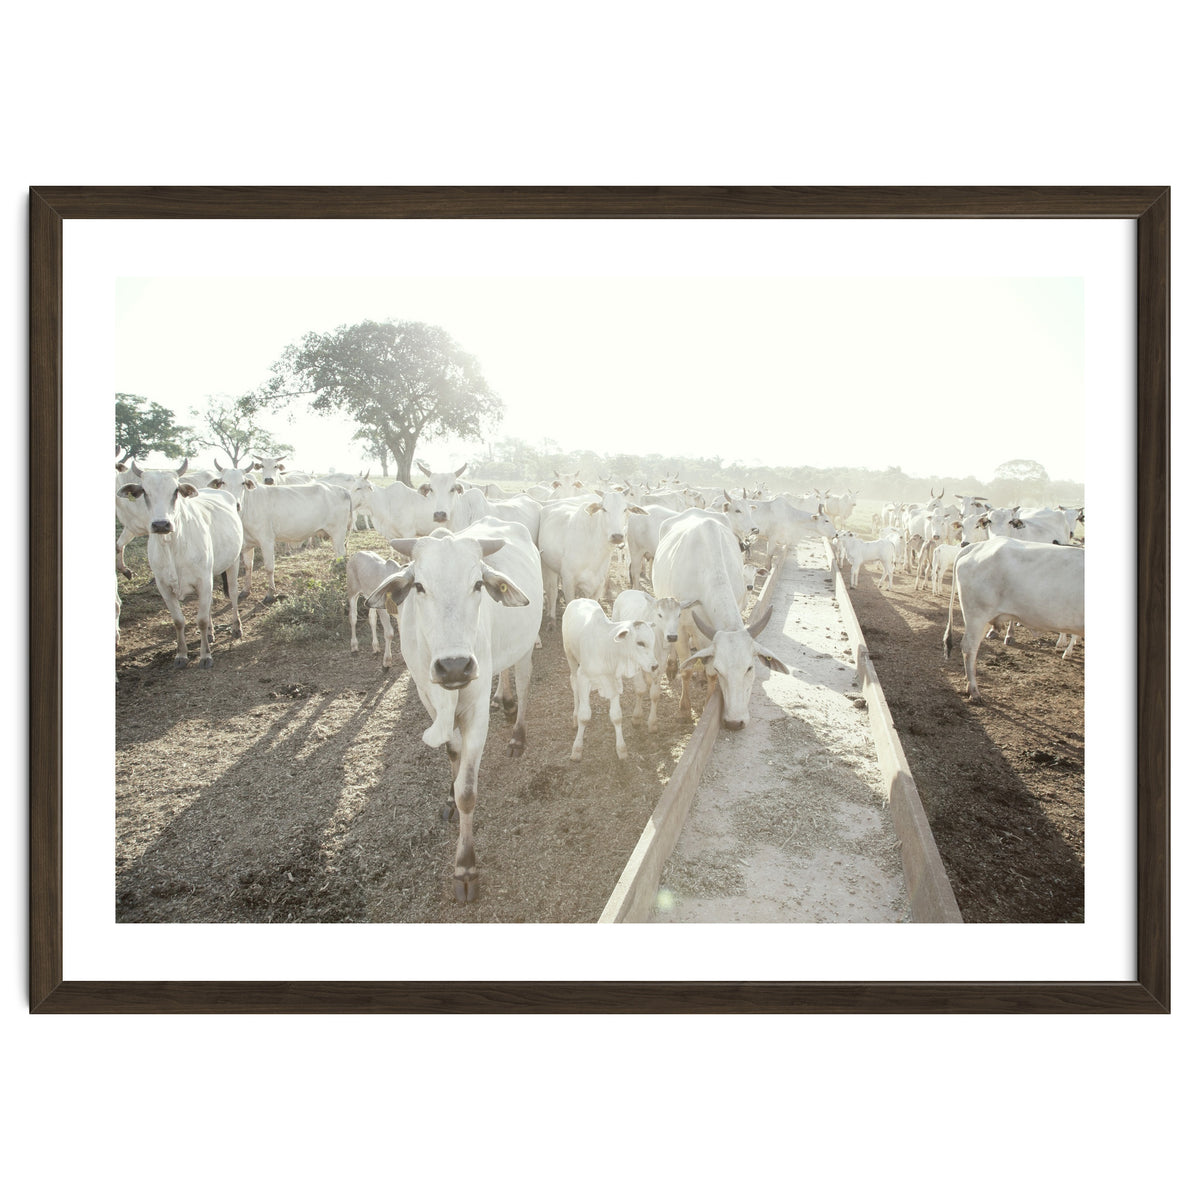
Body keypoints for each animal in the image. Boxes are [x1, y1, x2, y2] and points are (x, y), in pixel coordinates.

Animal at [116, 460, 243, 668]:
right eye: (145, 491)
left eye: (175, 491)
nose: (161, 524)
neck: (171, 545)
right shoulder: (164, 587)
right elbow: (178, 621)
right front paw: (181, 654)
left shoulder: (203, 580)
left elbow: (201, 620)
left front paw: (205, 655)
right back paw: (210, 634)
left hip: (233, 562)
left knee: (232, 594)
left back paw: (236, 627)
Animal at [367, 518, 543, 902]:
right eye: (419, 585)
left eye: (477, 584)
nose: (455, 667)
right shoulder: (427, 697)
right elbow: (451, 753)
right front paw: (448, 792)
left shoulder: (475, 713)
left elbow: (468, 793)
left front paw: (465, 867)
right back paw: (506, 701)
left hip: (525, 645)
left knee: (523, 682)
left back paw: (518, 733)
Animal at [562, 598, 658, 761]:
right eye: (640, 643)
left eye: (653, 642)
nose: (655, 666)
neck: (607, 648)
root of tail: (578, 599)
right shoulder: (584, 678)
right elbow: (584, 716)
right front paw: (577, 749)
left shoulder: (614, 682)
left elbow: (617, 716)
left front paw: (621, 749)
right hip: (570, 657)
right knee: (573, 684)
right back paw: (574, 716)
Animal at [651, 511, 790, 729]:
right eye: (721, 668)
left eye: (749, 668)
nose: (735, 723)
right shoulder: (680, 628)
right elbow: (687, 669)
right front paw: (684, 710)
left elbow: (709, 673)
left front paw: (707, 702)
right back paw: (673, 665)